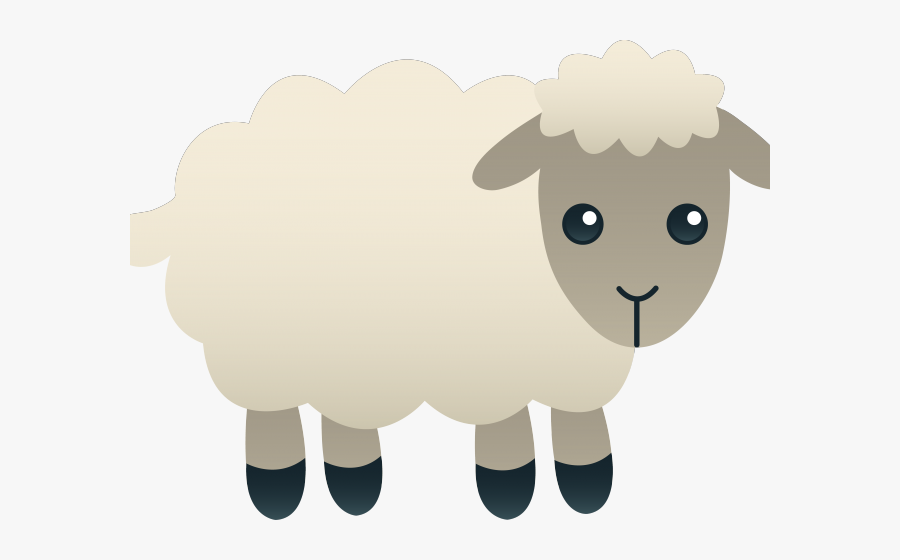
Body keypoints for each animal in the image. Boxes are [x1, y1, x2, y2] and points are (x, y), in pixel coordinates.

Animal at [131, 40, 769, 520]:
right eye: (580, 222)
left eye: (691, 221)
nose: (639, 296)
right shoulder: (491, 367)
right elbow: (506, 434)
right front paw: (508, 493)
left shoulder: (571, 369)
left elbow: (578, 423)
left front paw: (587, 486)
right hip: (257, 347)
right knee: (273, 414)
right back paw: (285, 490)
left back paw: (354, 484)